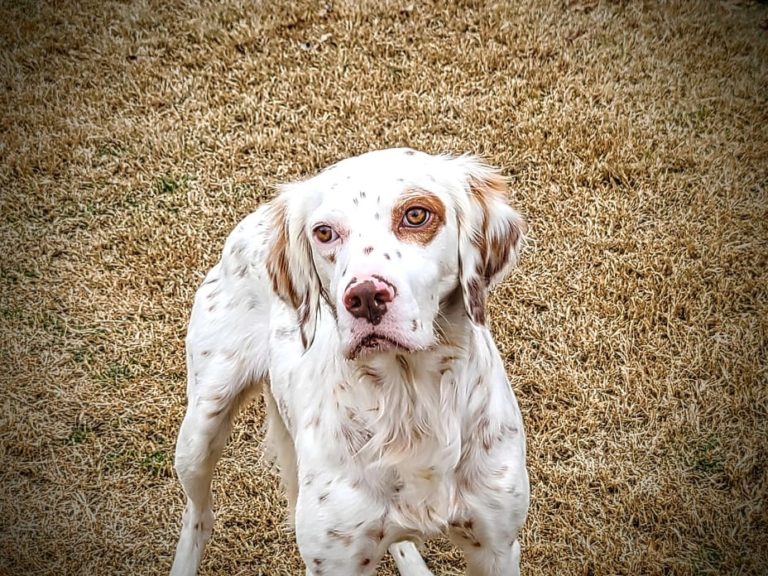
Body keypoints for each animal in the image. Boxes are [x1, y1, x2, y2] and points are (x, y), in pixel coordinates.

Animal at [170, 150, 528, 576]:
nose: (365, 296)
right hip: (199, 431)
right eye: (324, 233)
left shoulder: (496, 546)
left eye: (417, 215)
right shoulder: (334, 561)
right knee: (198, 516)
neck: (411, 403)